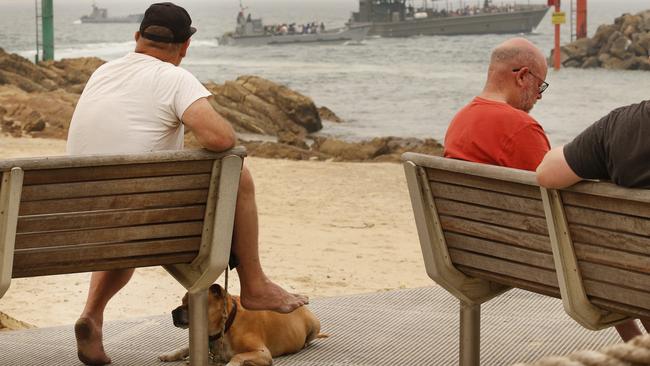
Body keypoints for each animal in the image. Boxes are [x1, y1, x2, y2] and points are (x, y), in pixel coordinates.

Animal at [157, 284, 318, 366]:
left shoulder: (262, 353)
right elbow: (185, 347)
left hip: (316, 325)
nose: (173, 312)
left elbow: (238, 356)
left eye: (190, 304)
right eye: (182, 301)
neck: (225, 327)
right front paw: (171, 354)